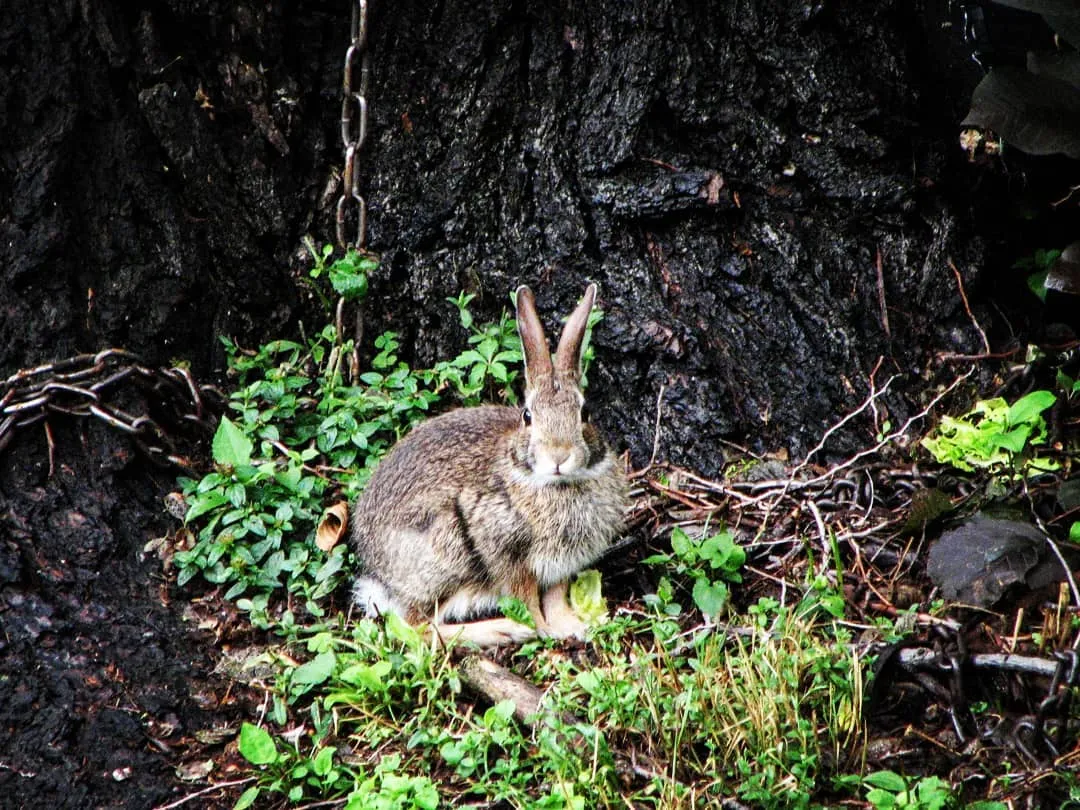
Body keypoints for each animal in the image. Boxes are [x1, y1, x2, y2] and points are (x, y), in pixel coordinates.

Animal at [349, 283, 628, 646]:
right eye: (527, 416)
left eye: (585, 413)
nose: (558, 456)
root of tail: (380, 581)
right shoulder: (505, 548)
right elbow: (526, 598)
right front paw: (539, 630)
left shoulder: (561, 567)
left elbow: (555, 596)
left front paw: (571, 625)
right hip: (445, 552)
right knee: (416, 626)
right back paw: (500, 629)